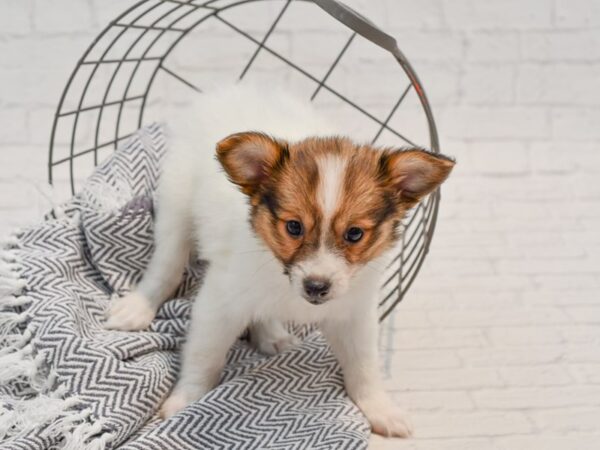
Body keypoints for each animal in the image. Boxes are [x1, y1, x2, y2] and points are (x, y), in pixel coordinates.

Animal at [106, 83, 454, 436]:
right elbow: (205, 356)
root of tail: (227, 90)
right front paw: (185, 401)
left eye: (355, 234)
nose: (317, 286)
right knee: (166, 267)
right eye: (294, 227)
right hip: (176, 207)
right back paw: (137, 308)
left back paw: (271, 334)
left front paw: (380, 409)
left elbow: (364, 366)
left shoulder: (354, 314)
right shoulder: (219, 302)